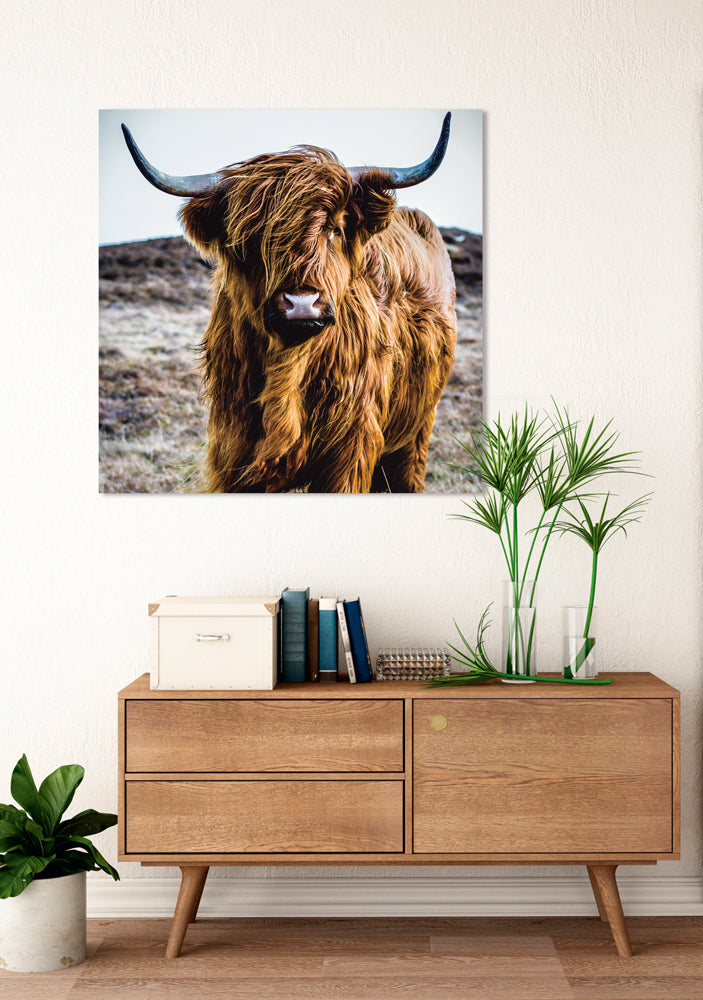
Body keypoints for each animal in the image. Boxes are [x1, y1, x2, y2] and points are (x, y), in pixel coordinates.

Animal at [121, 114, 457, 493]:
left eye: (335, 229)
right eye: (250, 239)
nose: (301, 302)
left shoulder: (352, 449)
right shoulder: (233, 449)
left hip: (418, 429)